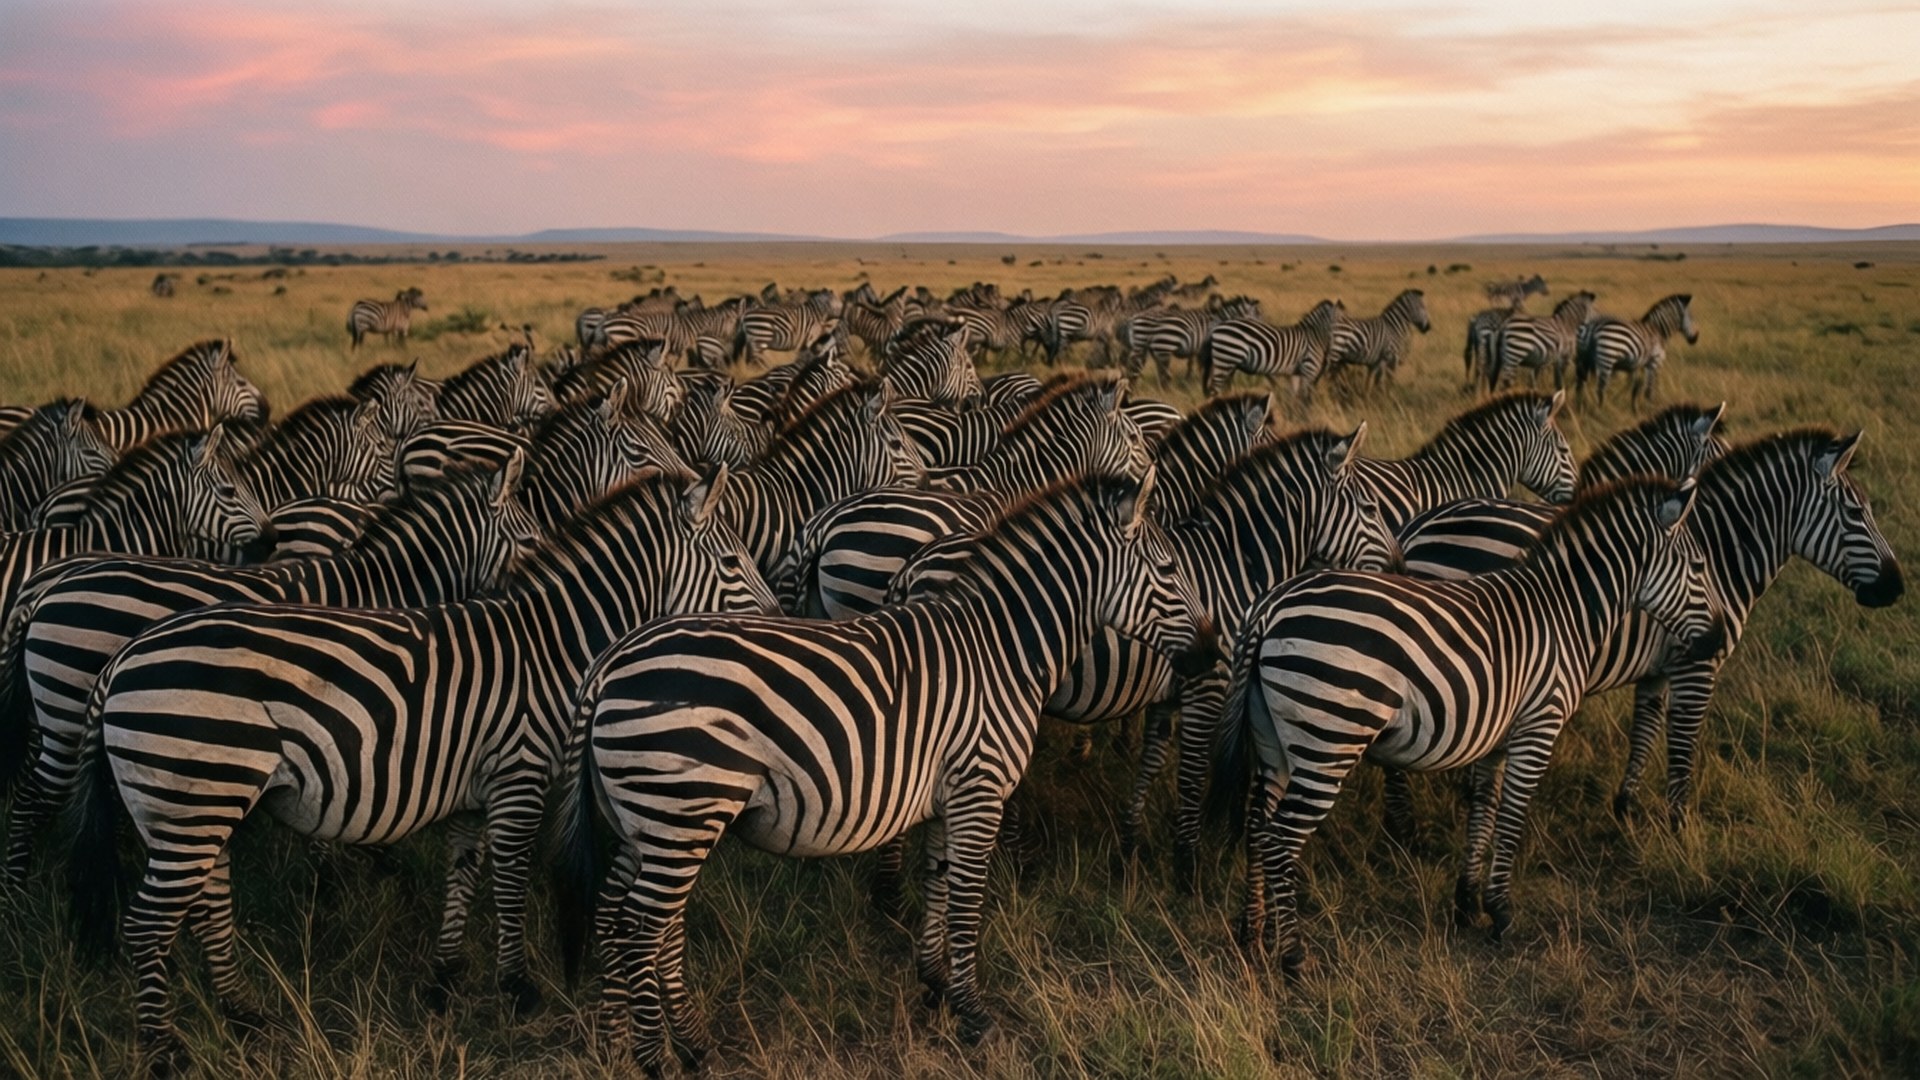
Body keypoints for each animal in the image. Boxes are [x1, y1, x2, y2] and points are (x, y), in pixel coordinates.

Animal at [0, 455, 540, 885]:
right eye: (532, 539)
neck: (385, 588)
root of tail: (48, 584)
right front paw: (344, 873)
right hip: (68, 711)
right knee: (30, 797)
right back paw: (19, 886)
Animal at [66, 467, 780, 1069]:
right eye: (731, 561)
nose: (779, 627)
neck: (550, 649)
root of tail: (122, 658)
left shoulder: (474, 791)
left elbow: (462, 873)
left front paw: (443, 980)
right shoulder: (518, 777)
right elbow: (510, 881)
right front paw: (518, 987)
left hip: (196, 806)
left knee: (207, 903)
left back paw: (243, 1015)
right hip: (192, 799)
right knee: (148, 924)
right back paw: (164, 1052)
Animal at [551, 471, 1217, 1070]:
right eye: (1169, 571)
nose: (1212, 654)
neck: (1002, 648)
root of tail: (609, 663)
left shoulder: (949, 794)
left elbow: (939, 882)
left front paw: (937, 985)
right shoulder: (980, 788)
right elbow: (968, 900)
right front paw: (976, 1015)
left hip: (649, 818)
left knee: (619, 912)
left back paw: (642, 1041)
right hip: (682, 810)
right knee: (642, 924)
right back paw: (659, 1058)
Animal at [1200, 300, 1344, 399]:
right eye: (1341, 326)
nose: (1331, 359)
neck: (1314, 336)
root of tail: (1218, 327)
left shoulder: (1296, 373)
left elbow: (1294, 397)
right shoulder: (1308, 371)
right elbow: (1304, 399)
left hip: (1228, 363)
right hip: (1225, 360)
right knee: (1214, 390)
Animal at [1208, 477, 1726, 974]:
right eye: (1701, 566)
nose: (1720, 641)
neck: (1565, 611)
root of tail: (1270, 608)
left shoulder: (1497, 735)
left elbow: (1484, 807)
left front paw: (1468, 902)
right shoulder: (1539, 724)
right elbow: (1513, 816)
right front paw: (1502, 914)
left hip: (1274, 739)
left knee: (1257, 827)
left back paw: (1254, 936)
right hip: (1330, 739)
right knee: (1280, 838)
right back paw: (1294, 958)